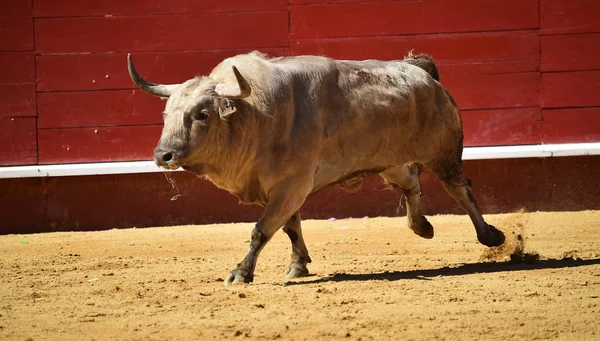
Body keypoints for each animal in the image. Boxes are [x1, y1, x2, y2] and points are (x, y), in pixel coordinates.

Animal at [127, 50, 506, 284]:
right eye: (166, 114)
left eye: (203, 114)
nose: (163, 155)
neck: (257, 117)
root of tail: (420, 70)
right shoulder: (282, 187)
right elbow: (290, 227)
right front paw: (298, 265)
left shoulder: (291, 185)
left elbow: (261, 230)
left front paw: (241, 273)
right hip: (390, 160)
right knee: (410, 183)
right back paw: (421, 227)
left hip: (444, 152)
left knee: (460, 190)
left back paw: (490, 235)